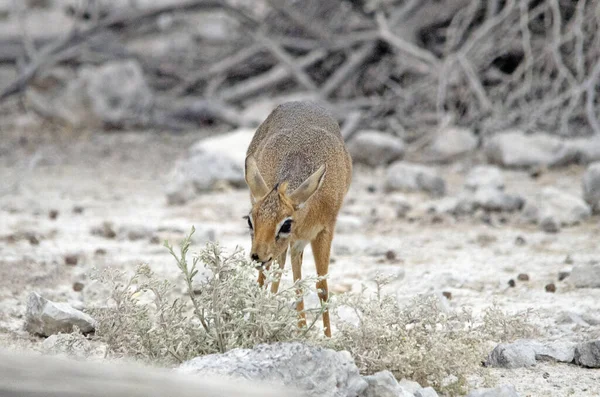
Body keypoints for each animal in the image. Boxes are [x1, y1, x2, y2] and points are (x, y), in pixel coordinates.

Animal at [244, 100, 352, 336]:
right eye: (250, 220)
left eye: (286, 224)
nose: (256, 256)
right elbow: (266, 278)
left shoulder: (324, 231)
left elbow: (321, 287)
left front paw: (327, 337)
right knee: (275, 271)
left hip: (297, 244)